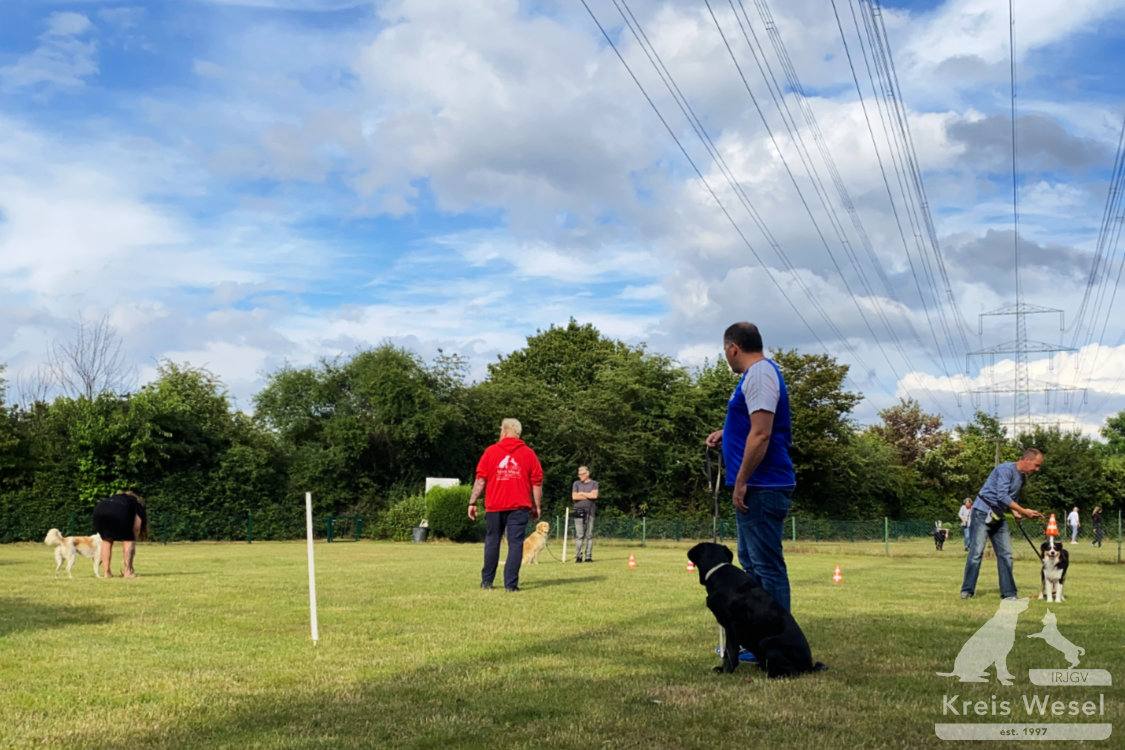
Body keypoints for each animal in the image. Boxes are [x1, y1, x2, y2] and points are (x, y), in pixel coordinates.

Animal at [684, 541, 828, 679]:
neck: (718, 571)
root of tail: (809, 666)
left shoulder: (732, 626)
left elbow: (730, 652)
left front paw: (726, 671)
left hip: (766, 643)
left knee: (793, 672)